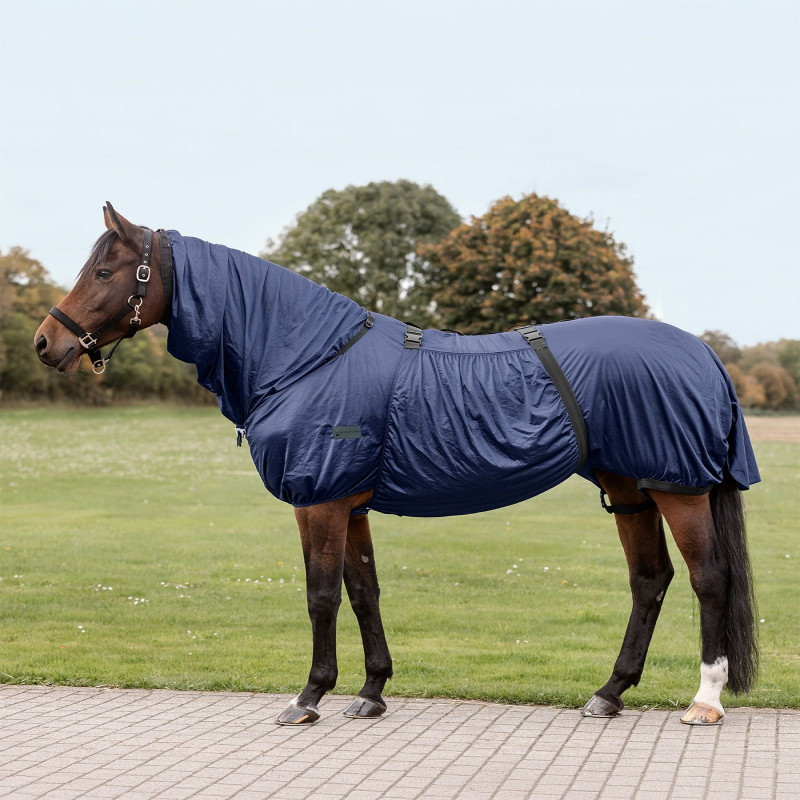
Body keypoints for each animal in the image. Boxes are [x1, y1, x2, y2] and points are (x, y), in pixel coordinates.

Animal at [34, 203, 759, 727]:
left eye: (106, 273)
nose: (47, 342)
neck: (308, 355)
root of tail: (702, 351)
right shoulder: (349, 503)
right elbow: (364, 592)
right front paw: (372, 691)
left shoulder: (319, 500)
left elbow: (321, 595)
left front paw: (309, 697)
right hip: (631, 488)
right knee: (650, 580)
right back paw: (608, 693)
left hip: (679, 489)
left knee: (709, 580)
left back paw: (705, 701)